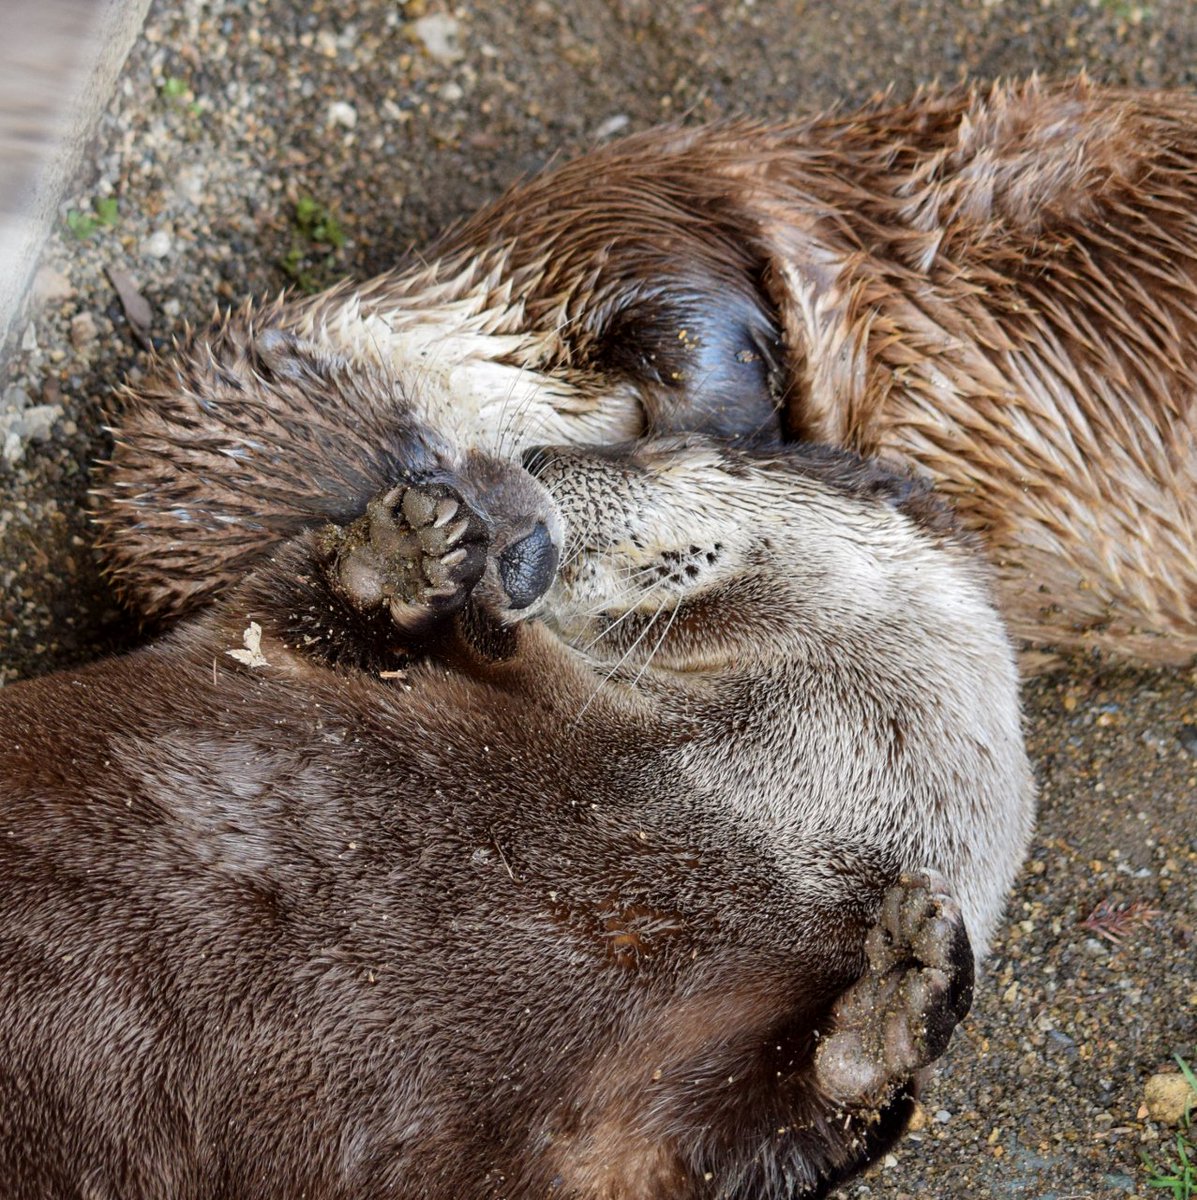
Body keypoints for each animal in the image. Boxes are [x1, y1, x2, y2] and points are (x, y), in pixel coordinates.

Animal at [0, 422, 1033, 1197]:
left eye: (673, 446)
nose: (533, 452)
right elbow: (283, 611)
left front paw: (901, 1002)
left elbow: (783, 1130)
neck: (769, 814)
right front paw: (396, 560)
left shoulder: (634, 1137)